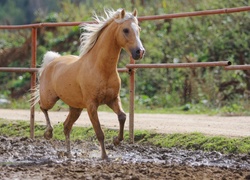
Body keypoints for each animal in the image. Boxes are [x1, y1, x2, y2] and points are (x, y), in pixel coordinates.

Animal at [34, 8, 146, 159]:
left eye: (139, 29)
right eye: (126, 30)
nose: (140, 52)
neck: (101, 69)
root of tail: (52, 61)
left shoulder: (112, 99)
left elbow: (122, 116)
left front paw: (116, 140)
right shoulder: (92, 105)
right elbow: (99, 132)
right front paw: (104, 156)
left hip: (76, 108)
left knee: (66, 126)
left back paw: (69, 154)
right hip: (50, 99)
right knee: (42, 106)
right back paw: (48, 133)